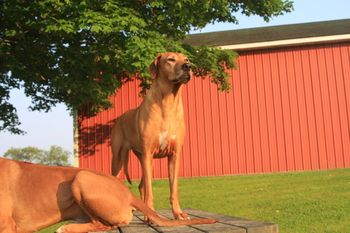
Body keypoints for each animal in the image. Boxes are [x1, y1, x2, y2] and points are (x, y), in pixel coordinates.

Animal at [110, 51, 191, 220]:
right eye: (171, 59)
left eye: (186, 59)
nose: (188, 66)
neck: (168, 102)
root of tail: (120, 118)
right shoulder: (148, 153)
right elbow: (150, 191)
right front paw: (151, 215)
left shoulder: (174, 155)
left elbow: (173, 188)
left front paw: (178, 213)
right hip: (119, 159)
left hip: (145, 161)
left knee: (142, 186)